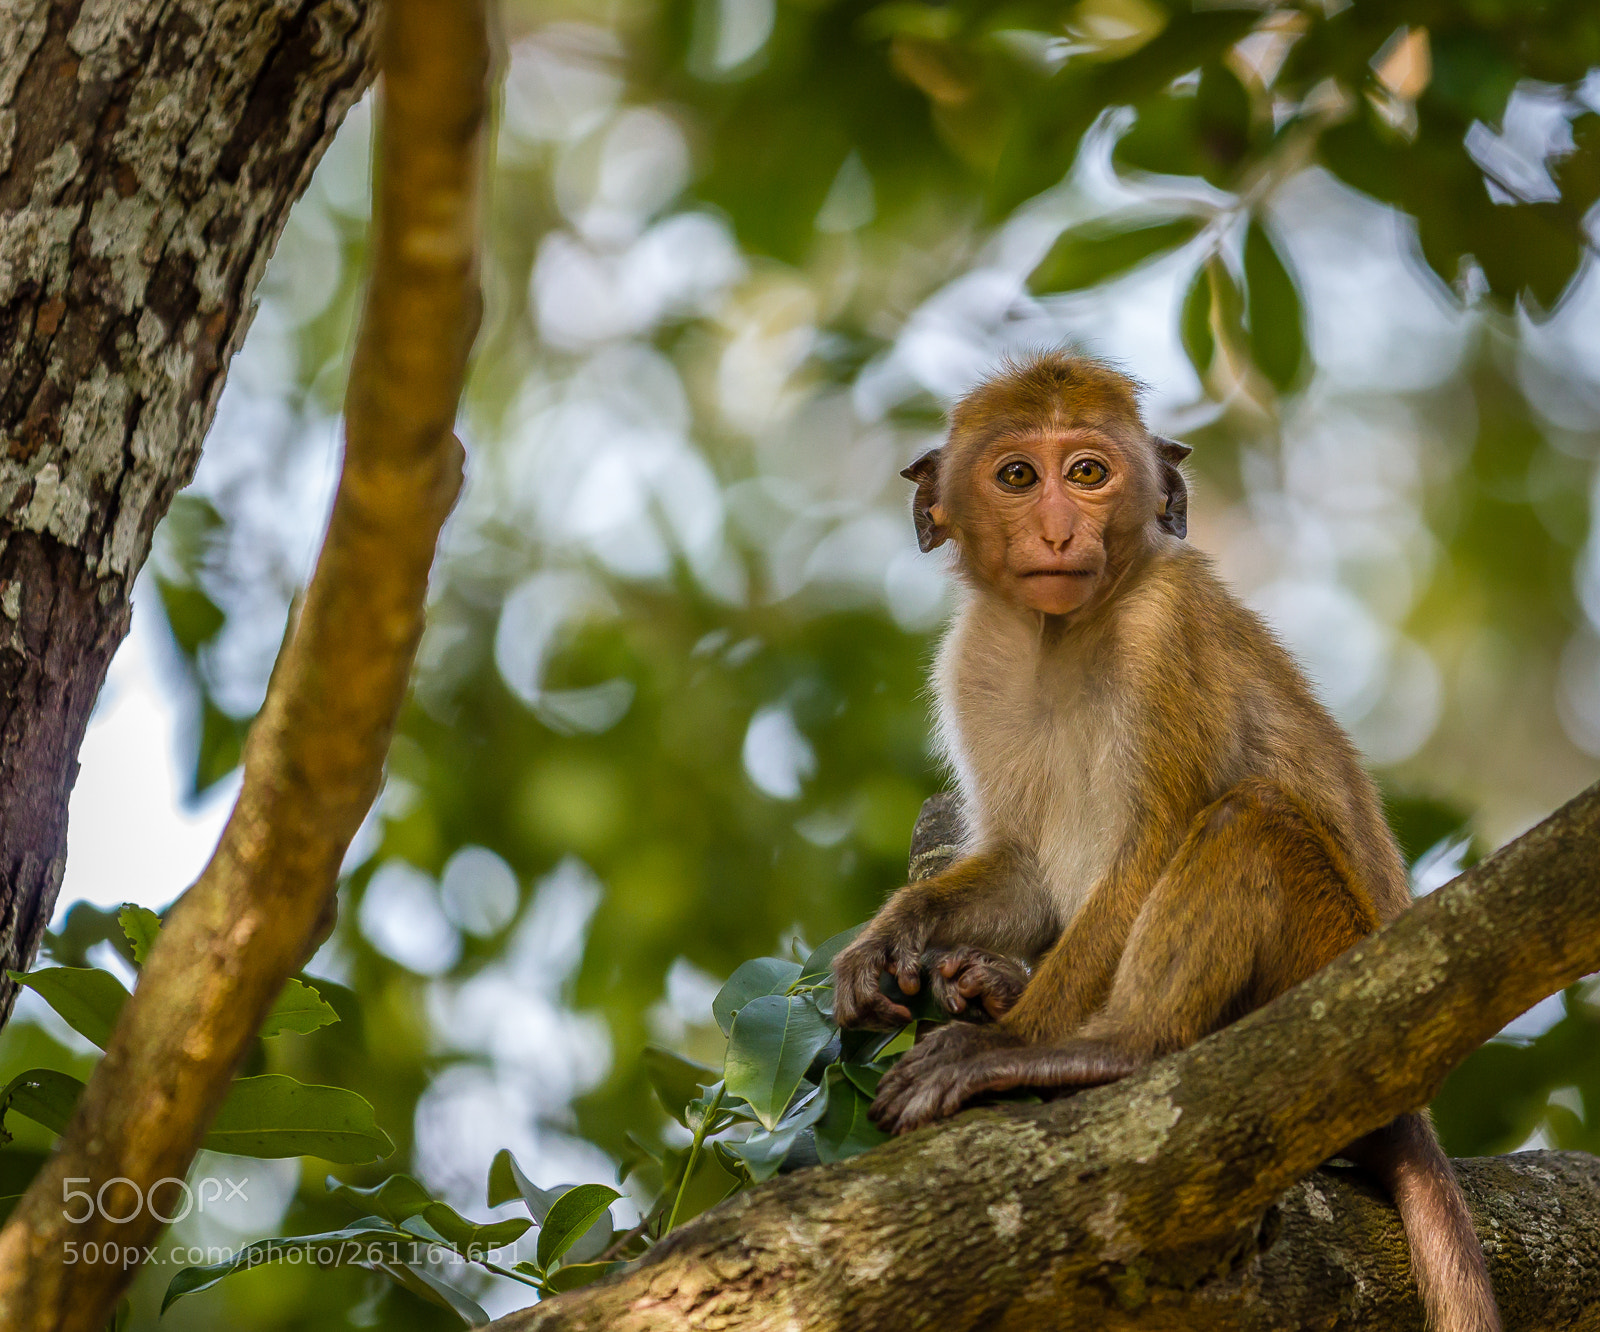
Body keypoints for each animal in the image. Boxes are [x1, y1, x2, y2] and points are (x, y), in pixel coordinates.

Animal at [830, 352, 1499, 1332]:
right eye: (1018, 476)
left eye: (1088, 473)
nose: (1060, 531)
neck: (1063, 633)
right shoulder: (974, 657)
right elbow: (1023, 874)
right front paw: (893, 940)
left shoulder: (1165, 627)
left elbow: (1150, 852)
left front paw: (1009, 1044)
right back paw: (993, 985)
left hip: (1328, 989)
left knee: (1250, 822)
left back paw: (1112, 1047)